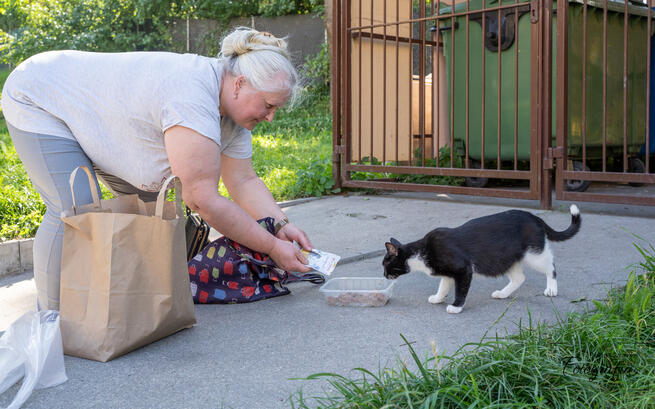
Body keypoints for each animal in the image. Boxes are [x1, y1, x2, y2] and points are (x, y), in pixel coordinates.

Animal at [382, 204, 580, 312]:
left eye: (385, 264)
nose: (384, 275)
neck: (422, 252)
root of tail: (533, 216)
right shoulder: (449, 273)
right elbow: (444, 286)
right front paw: (438, 298)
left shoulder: (463, 268)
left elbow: (460, 290)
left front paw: (456, 307)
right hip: (505, 258)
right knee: (519, 277)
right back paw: (503, 293)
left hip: (534, 254)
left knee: (550, 267)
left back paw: (551, 289)